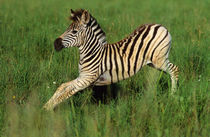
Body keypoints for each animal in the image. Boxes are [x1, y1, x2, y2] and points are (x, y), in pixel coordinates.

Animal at [43, 9, 179, 110]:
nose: (55, 44)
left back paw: (173, 96)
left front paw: (48, 110)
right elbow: (62, 87)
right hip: (153, 63)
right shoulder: (82, 76)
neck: (92, 52)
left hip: (159, 60)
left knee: (175, 70)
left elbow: (66, 93)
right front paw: (45, 106)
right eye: (67, 28)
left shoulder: (86, 79)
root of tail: (160, 26)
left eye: (74, 31)